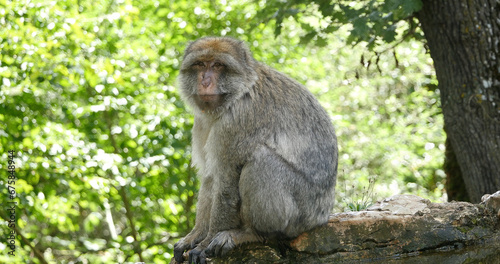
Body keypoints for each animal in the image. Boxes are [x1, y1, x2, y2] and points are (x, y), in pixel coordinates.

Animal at [174, 37, 338, 264]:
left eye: (217, 65)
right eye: (200, 64)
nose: (205, 81)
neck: (238, 93)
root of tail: (322, 216)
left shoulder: (235, 122)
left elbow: (225, 185)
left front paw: (205, 243)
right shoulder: (202, 121)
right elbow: (210, 177)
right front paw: (195, 235)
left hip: (301, 213)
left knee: (262, 161)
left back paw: (251, 233)